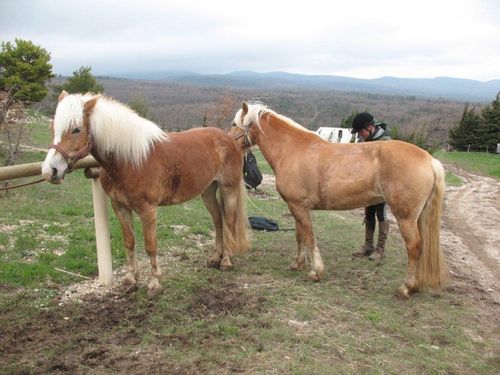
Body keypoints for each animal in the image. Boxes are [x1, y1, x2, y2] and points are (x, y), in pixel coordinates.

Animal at [42, 92, 249, 296]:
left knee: (229, 222)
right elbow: (129, 242)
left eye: (76, 130)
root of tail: (230, 140)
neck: (131, 160)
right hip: (207, 192)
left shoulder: (147, 210)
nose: (49, 171)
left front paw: (155, 283)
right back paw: (215, 258)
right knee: (218, 220)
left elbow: (150, 246)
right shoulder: (120, 207)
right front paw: (130, 280)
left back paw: (226, 261)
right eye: (52, 127)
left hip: (228, 189)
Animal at [229, 103, 446, 300]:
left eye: (233, 123)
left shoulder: (299, 207)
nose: (227, 142)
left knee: (414, 246)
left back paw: (406, 288)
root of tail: (428, 159)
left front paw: (315, 272)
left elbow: (309, 237)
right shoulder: (297, 206)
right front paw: (297, 264)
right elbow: (300, 237)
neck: (291, 149)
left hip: (405, 217)